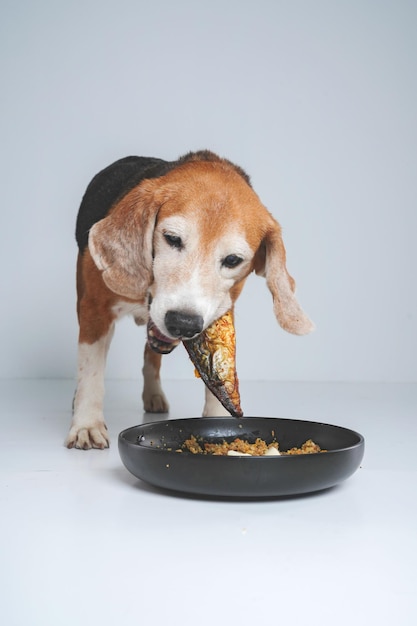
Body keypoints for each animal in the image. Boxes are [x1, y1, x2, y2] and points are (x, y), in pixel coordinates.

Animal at [66, 151, 312, 448]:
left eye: (233, 260)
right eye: (172, 238)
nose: (183, 323)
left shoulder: (220, 313)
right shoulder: (94, 309)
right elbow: (91, 372)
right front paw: (87, 424)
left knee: (151, 355)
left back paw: (153, 396)